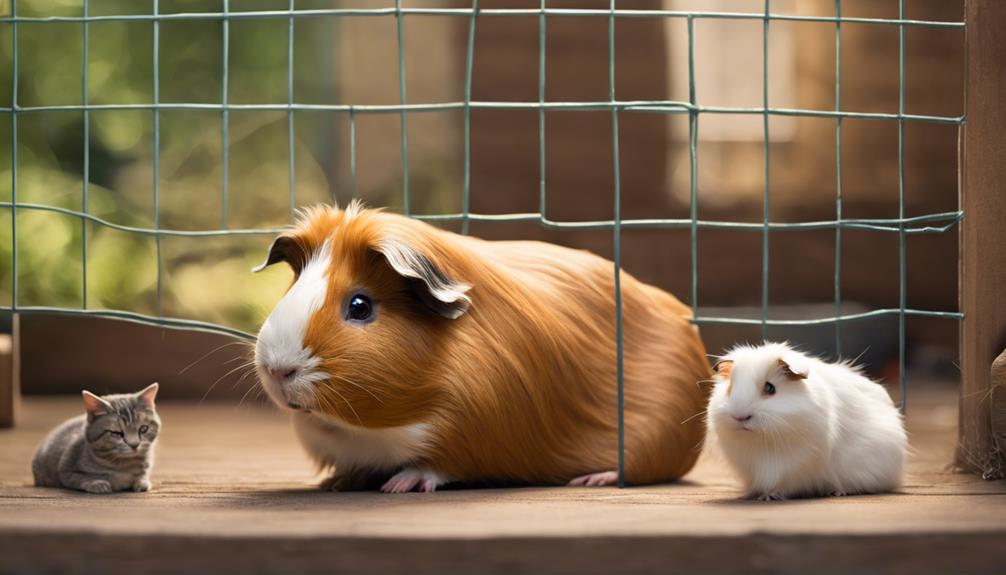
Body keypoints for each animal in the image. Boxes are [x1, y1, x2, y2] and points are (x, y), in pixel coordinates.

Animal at [30, 381, 160, 494]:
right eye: (117, 433)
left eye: (143, 429)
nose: (134, 445)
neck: (124, 465)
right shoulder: (66, 470)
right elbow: (79, 479)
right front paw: (97, 483)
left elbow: (142, 475)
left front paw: (142, 482)